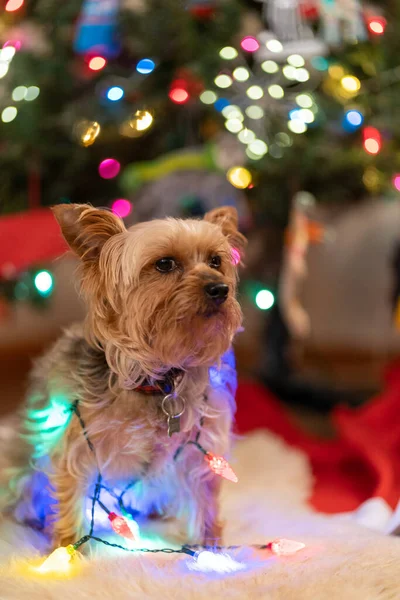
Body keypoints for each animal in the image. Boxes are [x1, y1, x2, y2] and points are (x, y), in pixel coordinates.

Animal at [4, 205, 245, 548]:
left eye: (215, 261)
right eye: (164, 264)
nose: (220, 289)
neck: (159, 381)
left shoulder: (203, 444)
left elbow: (205, 498)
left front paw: (209, 549)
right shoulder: (76, 438)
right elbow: (70, 493)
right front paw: (66, 549)